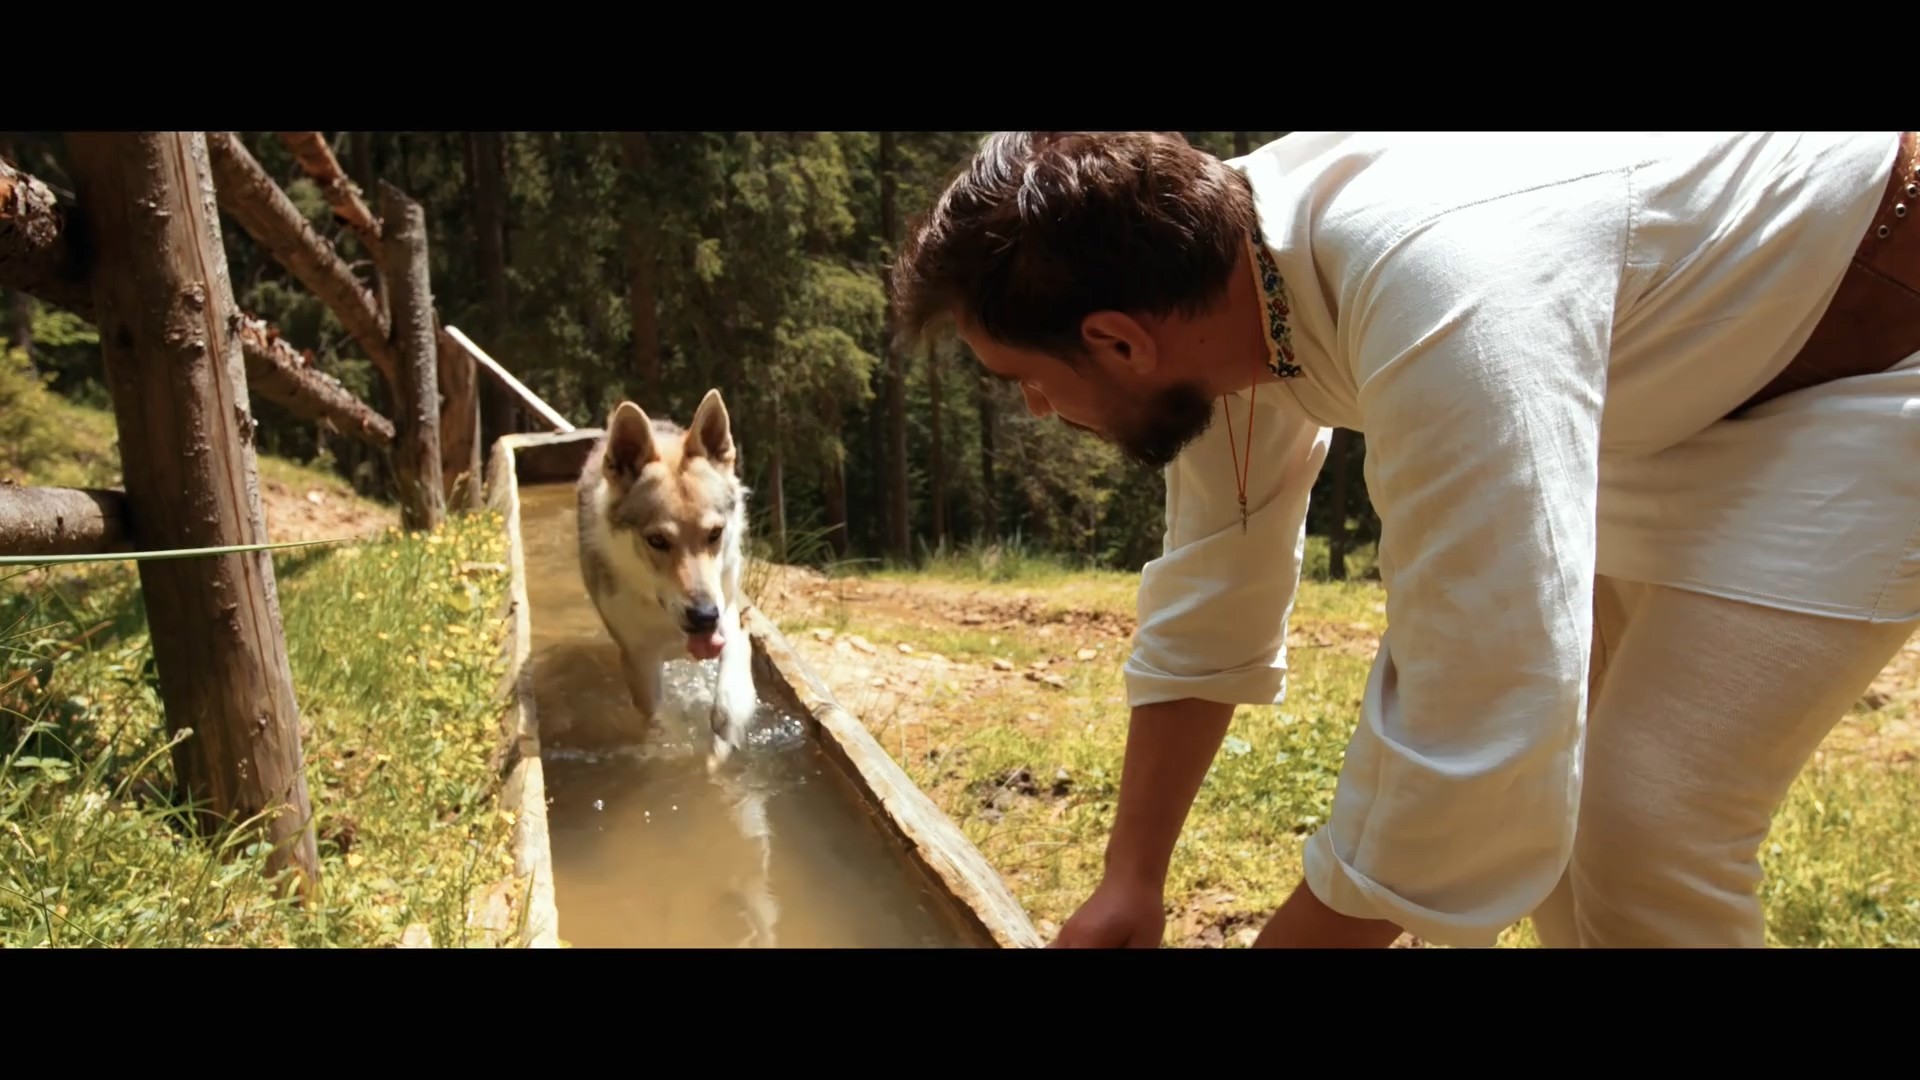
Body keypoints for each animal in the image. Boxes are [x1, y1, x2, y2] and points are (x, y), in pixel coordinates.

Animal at [572, 384, 752, 764]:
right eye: (657, 540)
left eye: (715, 533)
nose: (703, 616)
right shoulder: (639, 658)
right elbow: (656, 719)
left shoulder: (729, 616)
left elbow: (729, 691)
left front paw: (723, 737)